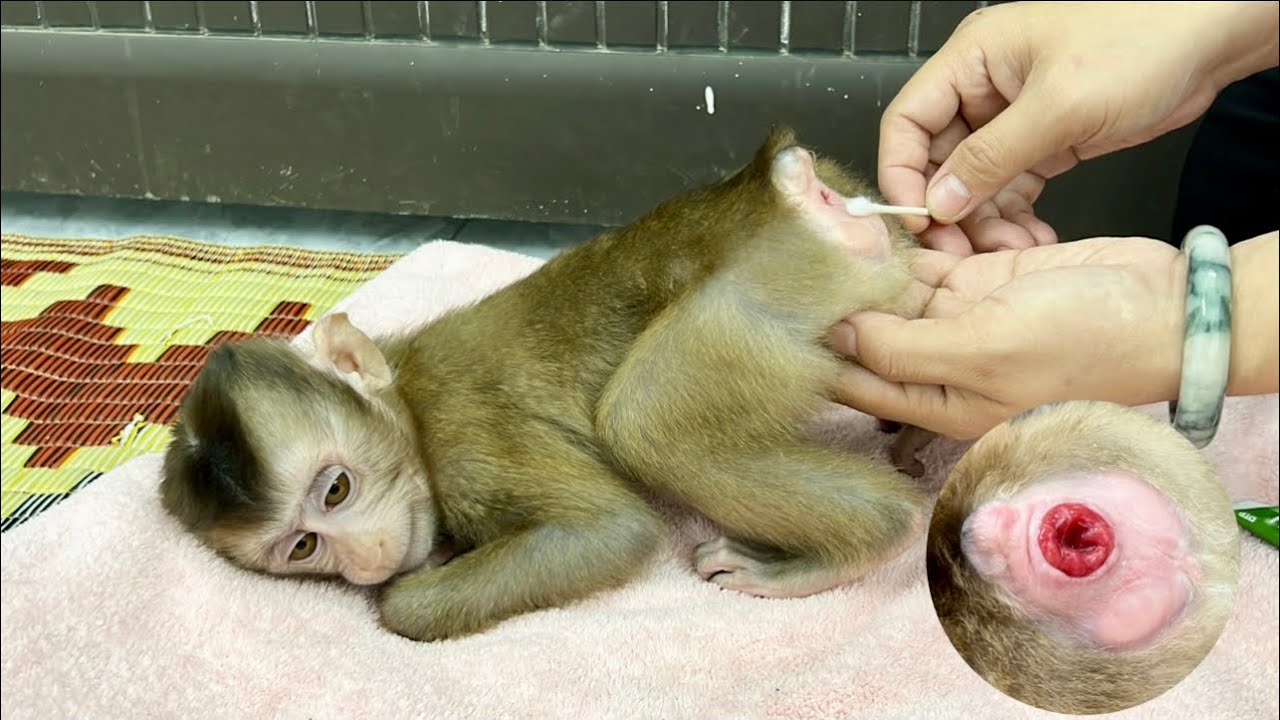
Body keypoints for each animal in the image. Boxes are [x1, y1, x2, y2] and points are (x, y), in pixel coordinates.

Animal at [160, 126, 928, 642]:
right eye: (302, 549)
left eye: (337, 490)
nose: (362, 564)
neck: (408, 398)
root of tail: (770, 187)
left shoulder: (467, 440)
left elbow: (608, 530)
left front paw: (408, 591)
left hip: (772, 282)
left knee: (643, 420)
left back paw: (854, 543)